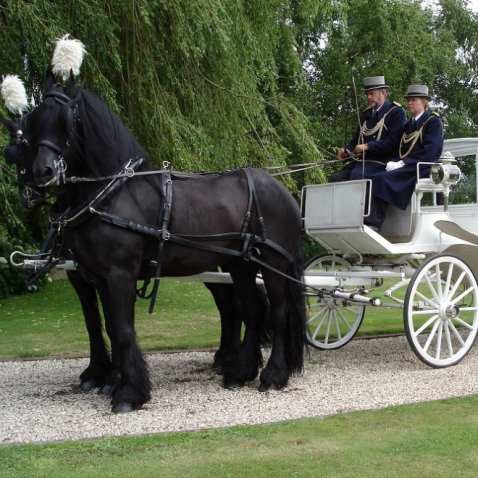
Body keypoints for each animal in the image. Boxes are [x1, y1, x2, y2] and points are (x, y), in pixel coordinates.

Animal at [23, 72, 306, 414]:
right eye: (35, 120)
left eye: (68, 118)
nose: (42, 172)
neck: (112, 194)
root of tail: (282, 189)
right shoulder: (99, 277)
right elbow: (109, 327)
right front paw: (113, 380)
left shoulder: (120, 274)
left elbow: (123, 331)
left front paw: (129, 393)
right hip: (240, 265)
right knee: (252, 310)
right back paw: (240, 373)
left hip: (274, 263)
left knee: (278, 313)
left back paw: (273, 375)